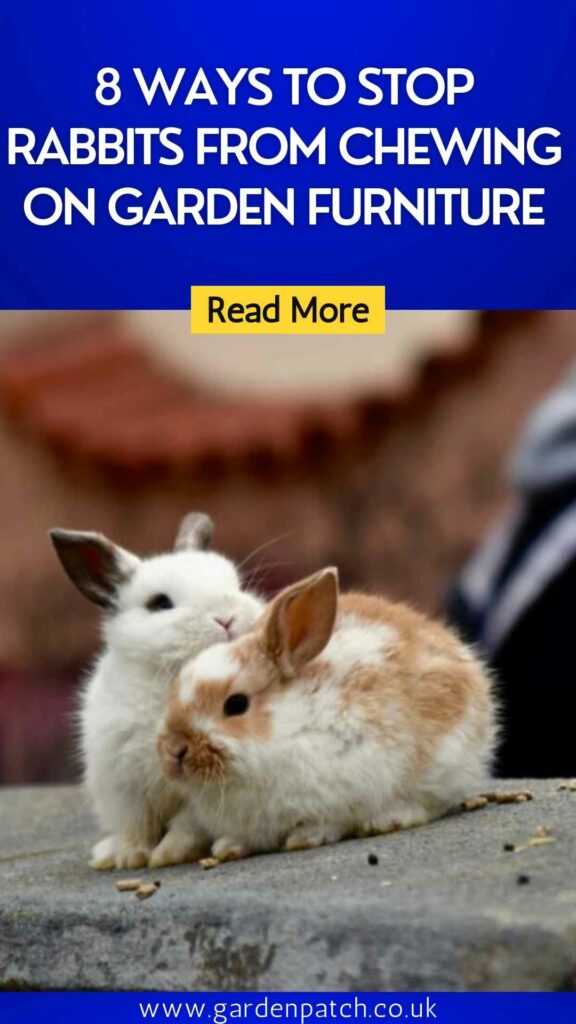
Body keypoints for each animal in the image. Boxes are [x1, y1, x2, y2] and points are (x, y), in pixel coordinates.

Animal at [50, 512, 264, 870]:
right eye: (160, 603)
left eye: (236, 585)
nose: (226, 618)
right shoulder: (124, 788)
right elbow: (138, 826)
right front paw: (130, 858)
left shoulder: (197, 792)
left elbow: (186, 825)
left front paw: (168, 855)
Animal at [157, 566, 497, 862]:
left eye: (236, 705)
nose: (174, 751)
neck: (287, 726)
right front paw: (227, 847)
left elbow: (327, 821)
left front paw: (305, 837)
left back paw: (387, 820)